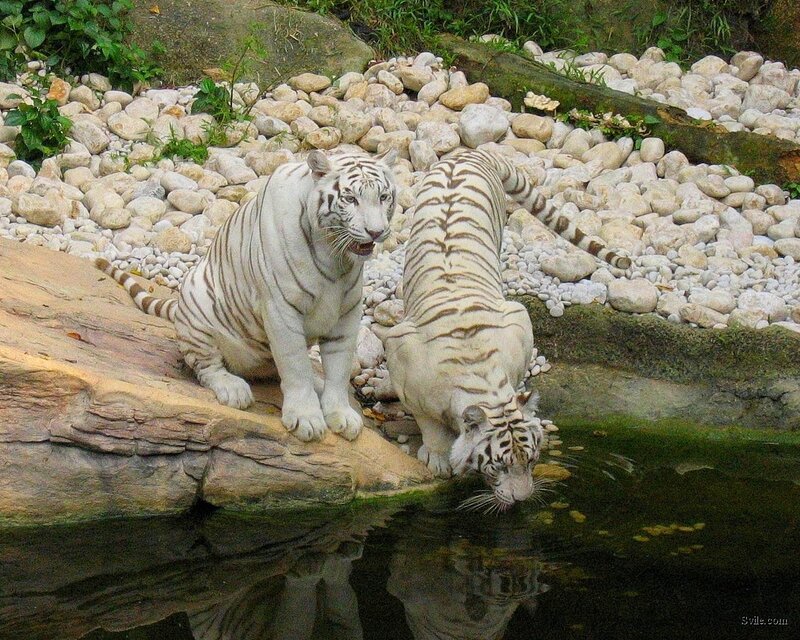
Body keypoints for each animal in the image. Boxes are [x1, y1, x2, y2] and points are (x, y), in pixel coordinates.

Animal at [97, 149, 398, 443]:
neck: (335, 256)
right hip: (197, 305)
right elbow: (295, 364)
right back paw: (234, 390)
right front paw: (306, 419)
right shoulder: (281, 309)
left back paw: (317, 384)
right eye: (350, 199)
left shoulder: (347, 313)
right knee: (207, 368)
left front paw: (340, 414)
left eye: (383, 197)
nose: (376, 232)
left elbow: (339, 367)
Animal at [384, 149, 630, 508]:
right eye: (498, 466)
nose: (522, 499)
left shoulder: (518, 320)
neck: (480, 376)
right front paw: (438, 457)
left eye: (531, 459)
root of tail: (470, 152)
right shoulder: (401, 359)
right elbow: (428, 423)